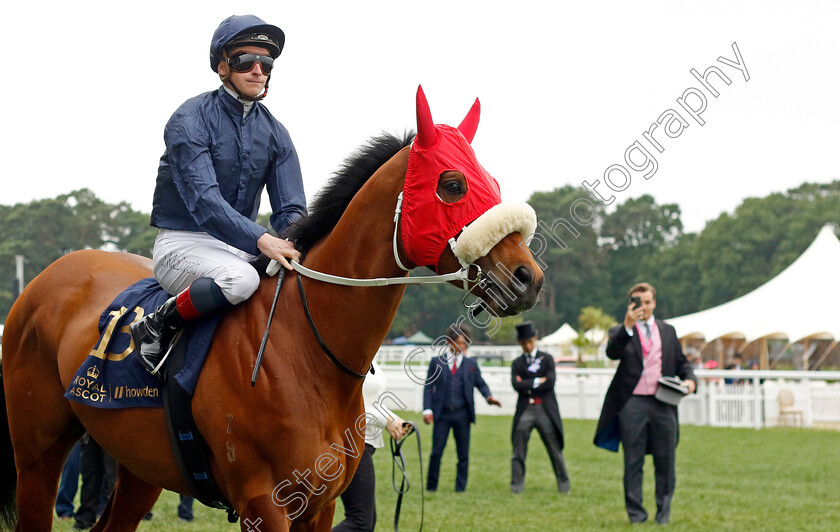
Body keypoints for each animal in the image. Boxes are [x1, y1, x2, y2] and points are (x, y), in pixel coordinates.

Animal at [0, 85, 544, 528]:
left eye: (493, 183)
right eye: (452, 184)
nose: (528, 279)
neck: (308, 347)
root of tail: (45, 279)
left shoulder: (320, 505)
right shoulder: (265, 503)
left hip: (140, 466)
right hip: (37, 454)